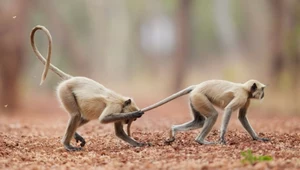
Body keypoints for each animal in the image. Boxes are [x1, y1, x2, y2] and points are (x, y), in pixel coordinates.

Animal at [139, 79, 268, 145]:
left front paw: (257, 138)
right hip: (199, 97)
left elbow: (242, 117)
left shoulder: (246, 99)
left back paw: (173, 130)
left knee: (200, 121)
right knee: (213, 115)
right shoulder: (242, 96)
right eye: (262, 90)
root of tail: (196, 86)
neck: (244, 88)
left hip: (194, 99)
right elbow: (229, 109)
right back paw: (200, 141)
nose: (263, 95)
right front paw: (222, 137)